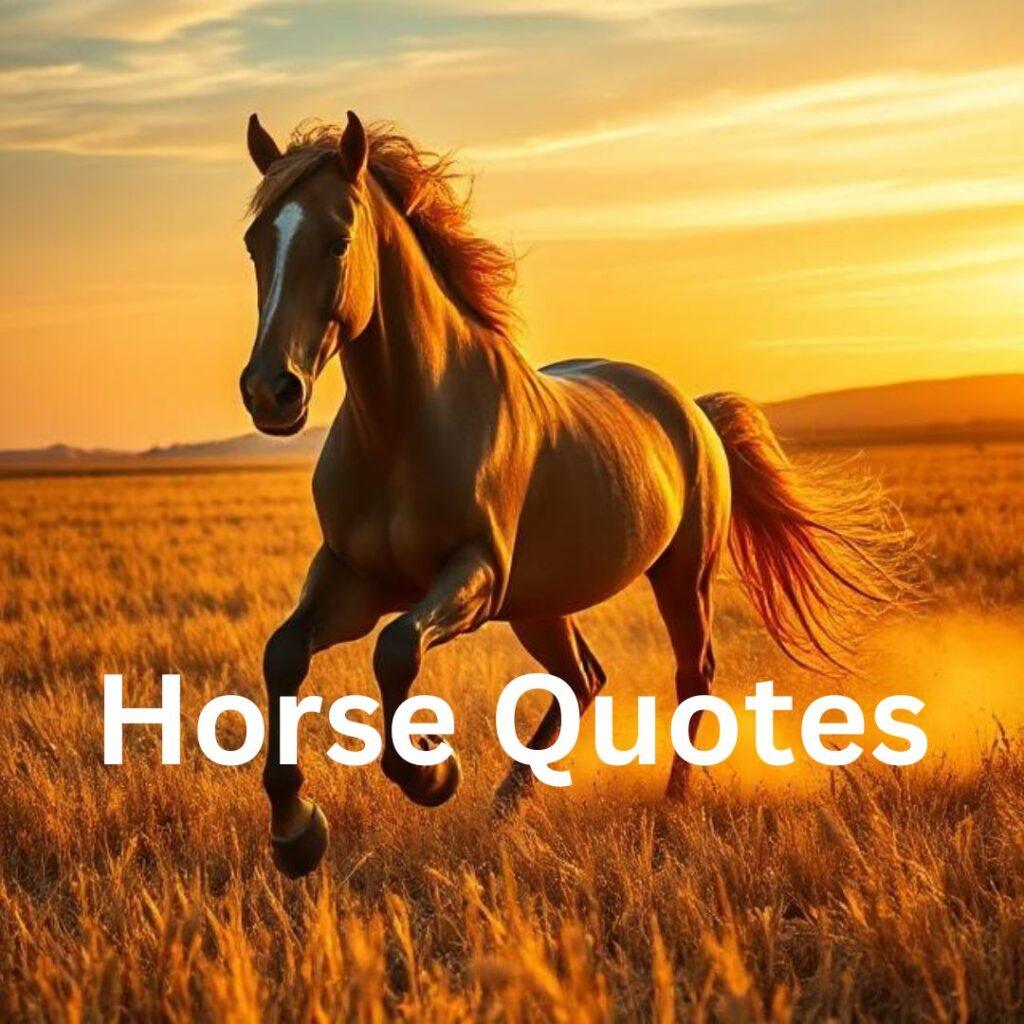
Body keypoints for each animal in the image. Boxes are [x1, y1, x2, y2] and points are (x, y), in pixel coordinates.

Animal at [239, 110, 911, 878]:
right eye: (256, 242)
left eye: (338, 238)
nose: (270, 391)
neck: (408, 423)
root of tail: (693, 408)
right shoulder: (354, 579)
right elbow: (285, 654)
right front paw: (296, 831)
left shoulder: (475, 576)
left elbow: (397, 648)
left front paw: (431, 774)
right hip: (542, 606)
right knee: (583, 679)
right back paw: (505, 809)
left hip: (680, 576)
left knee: (692, 675)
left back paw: (669, 810)